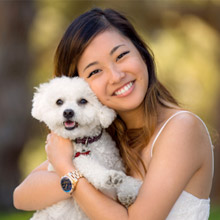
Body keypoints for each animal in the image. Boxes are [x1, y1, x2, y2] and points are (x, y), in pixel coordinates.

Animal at [30, 76, 142, 219]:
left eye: (83, 101)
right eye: (59, 101)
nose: (68, 112)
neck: (84, 141)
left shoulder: (117, 164)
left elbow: (128, 180)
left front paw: (128, 191)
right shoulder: (76, 160)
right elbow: (89, 166)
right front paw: (108, 176)